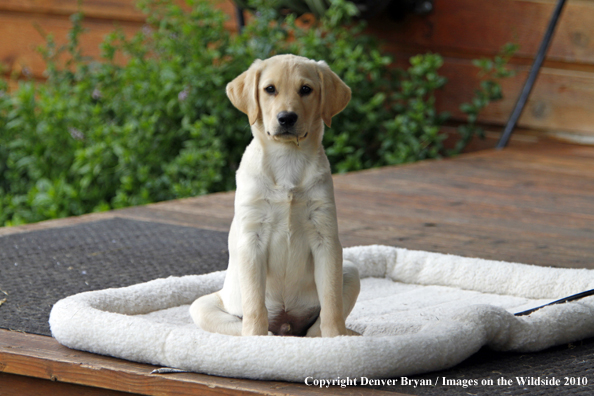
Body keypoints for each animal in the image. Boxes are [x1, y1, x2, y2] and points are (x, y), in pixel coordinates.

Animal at [190, 54, 358, 336]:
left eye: (306, 89)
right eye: (270, 89)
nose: (286, 118)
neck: (287, 158)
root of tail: (287, 325)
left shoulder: (325, 238)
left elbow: (332, 303)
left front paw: (336, 340)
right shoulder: (252, 239)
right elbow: (255, 305)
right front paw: (256, 341)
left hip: (351, 272)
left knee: (314, 327)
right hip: (202, 306)